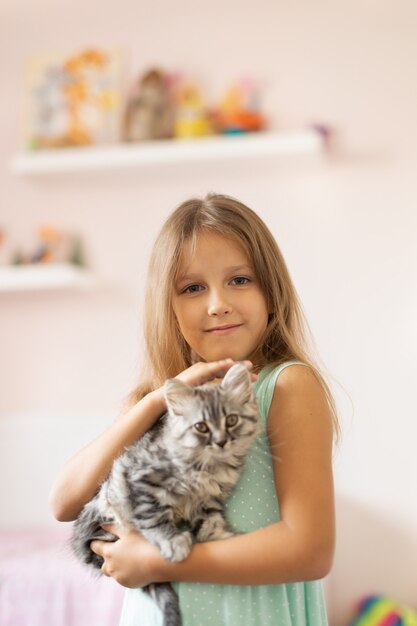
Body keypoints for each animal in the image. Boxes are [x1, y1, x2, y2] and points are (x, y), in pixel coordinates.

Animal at [72, 360, 260, 624]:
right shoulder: (139, 480)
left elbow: (211, 523)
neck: (209, 467)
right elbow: (154, 517)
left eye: (231, 420)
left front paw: (227, 538)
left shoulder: (210, 499)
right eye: (201, 427)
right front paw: (173, 542)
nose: (222, 441)